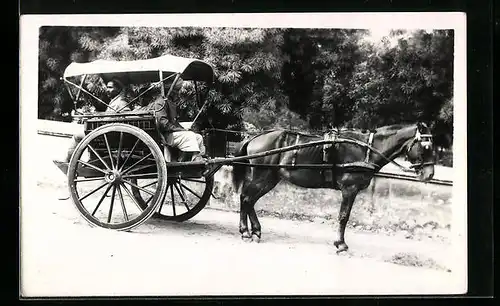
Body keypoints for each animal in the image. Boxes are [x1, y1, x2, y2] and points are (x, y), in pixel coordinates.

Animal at [232, 122, 436, 253]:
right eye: (426, 146)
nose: (429, 174)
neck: (366, 149)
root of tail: (256, 137)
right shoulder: (349, 189)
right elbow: (344, 216)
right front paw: (341, 244)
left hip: (269, 178)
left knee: (248, 199)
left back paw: (254, 231)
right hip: (263, 176)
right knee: (247, 198)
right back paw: (246, 232)